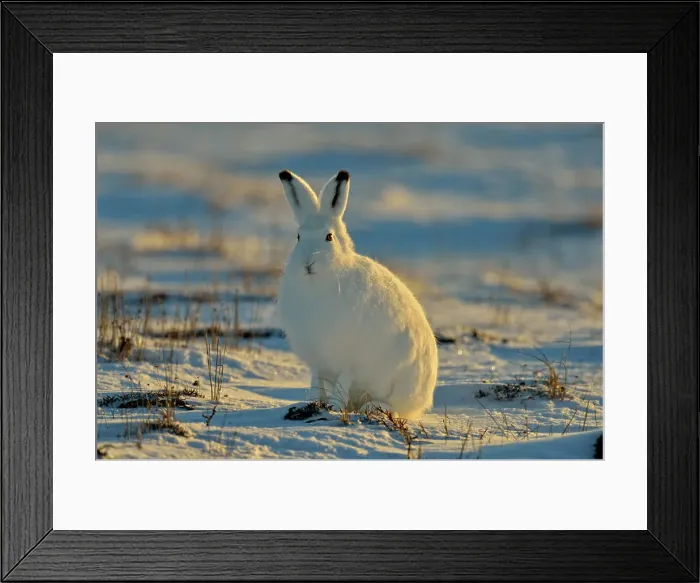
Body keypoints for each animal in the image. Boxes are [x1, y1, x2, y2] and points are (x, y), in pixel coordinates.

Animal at [276, 169, 438, 419]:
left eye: (329, 237)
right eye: (298, 237)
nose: (308, 263)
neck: (318, 284)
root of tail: (425, 397)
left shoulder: (348, 361)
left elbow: (342, 384)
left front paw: (333, 408)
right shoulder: (317, 362)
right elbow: (316, 383)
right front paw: (315, 403)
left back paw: (372, 408)